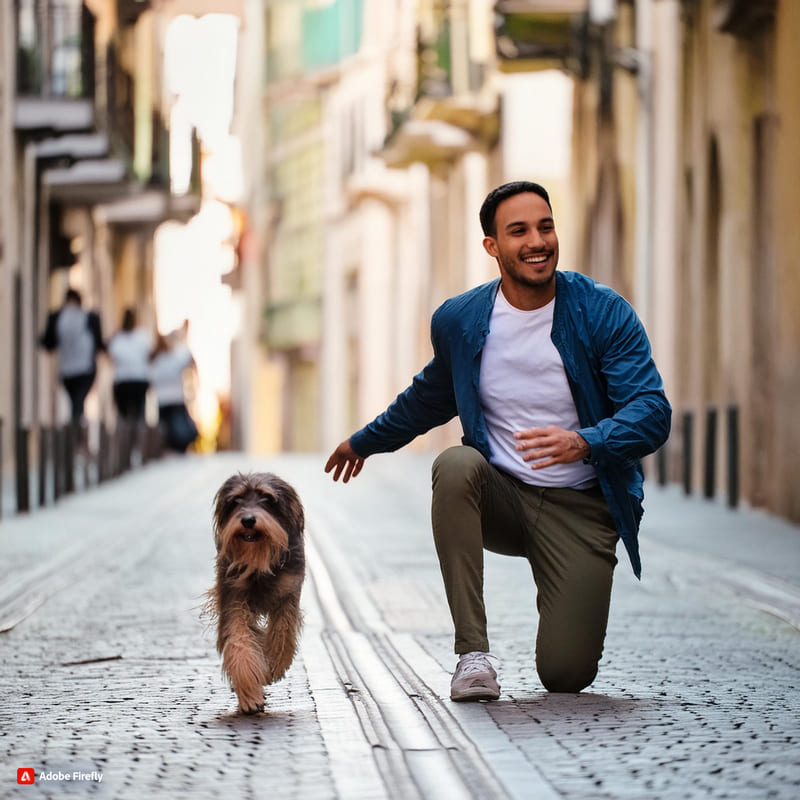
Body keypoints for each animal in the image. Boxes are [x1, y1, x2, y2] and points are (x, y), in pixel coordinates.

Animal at [206, 468, 306, 712]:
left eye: (267, 499)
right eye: (236, 501)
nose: (248, 520)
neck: (259, 560)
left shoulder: (288, 595)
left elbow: (282, 633)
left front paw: (274, 667)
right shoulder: (233, 598)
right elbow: (239, 642)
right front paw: (250, 694)